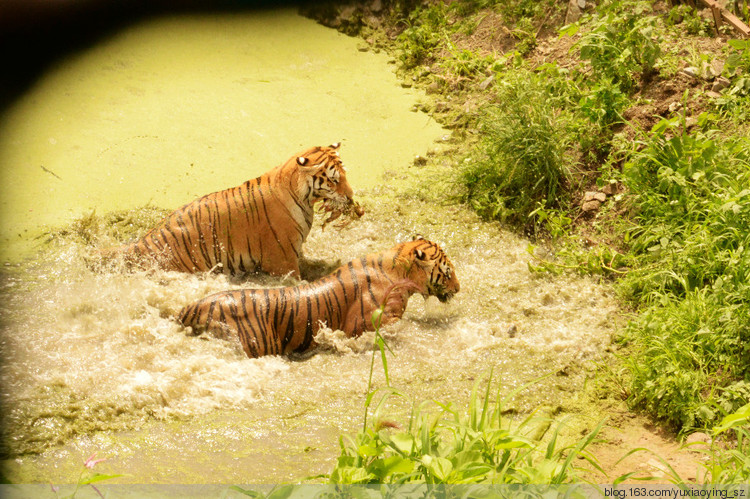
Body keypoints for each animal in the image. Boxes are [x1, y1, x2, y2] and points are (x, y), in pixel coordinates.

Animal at [107, 143, 362, 280]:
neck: (302, 197)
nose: (351, 197)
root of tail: (140, 243)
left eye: (345, 174)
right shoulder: (283, 261)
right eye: (334, 180)